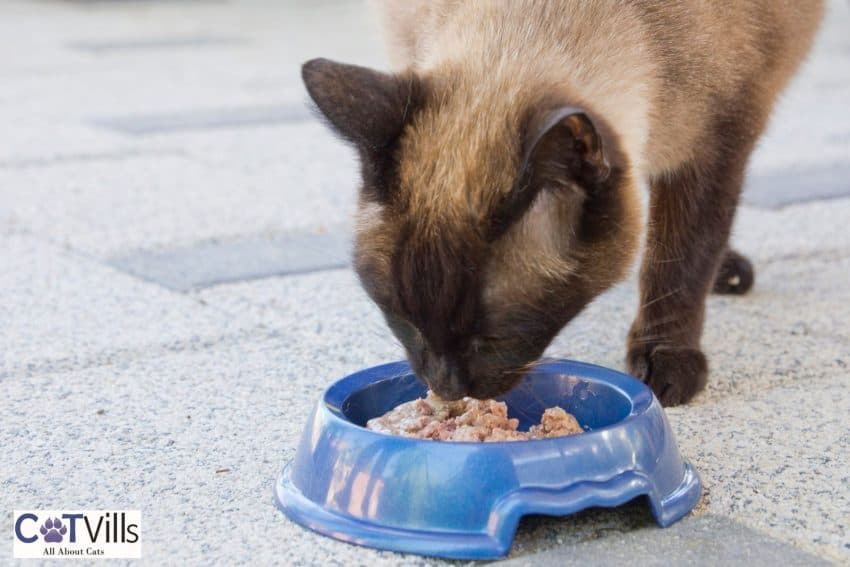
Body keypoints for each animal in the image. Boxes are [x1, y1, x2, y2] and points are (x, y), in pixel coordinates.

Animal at [300, 1, 820, 408]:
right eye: (403, 321)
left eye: (492, 338)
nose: (448, 390)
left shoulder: (717, 141)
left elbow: (681, 262)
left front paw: (667, 365)